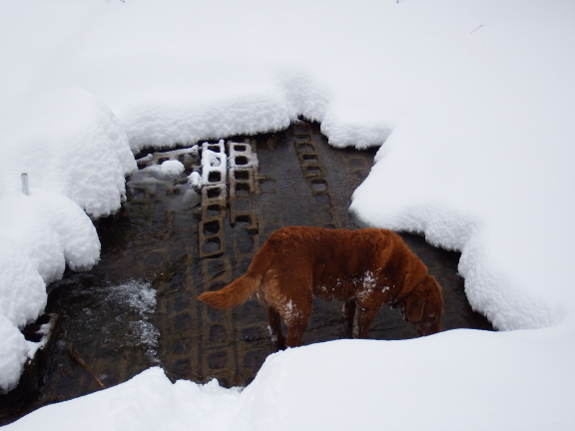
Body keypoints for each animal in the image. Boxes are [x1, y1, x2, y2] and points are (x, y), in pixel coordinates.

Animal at [199, 226, 446, 348]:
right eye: (431, 317)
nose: (438, 337)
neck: (405, 273)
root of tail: (269, 247)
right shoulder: (369, 305)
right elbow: (361, 331)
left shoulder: (354, 297)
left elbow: (348, 313)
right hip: (300, 307)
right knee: (292, 341)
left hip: (271, 304)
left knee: (274, 331)